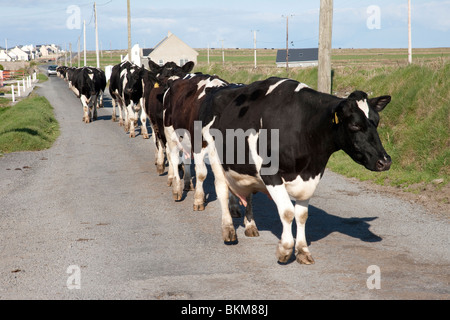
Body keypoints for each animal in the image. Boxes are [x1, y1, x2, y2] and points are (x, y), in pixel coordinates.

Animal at [199, 76, 392, 264]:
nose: (385, 161)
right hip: (215, 158)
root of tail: (222, 87)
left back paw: (250, 226)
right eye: (355, 125)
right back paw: (228, 231)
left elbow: (302, 215)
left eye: (376, 121)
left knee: (247, 195)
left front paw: (302, 251)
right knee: (222, 191)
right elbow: (287, 212)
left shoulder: (311, 176)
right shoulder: (270, 174)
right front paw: (285, 249)